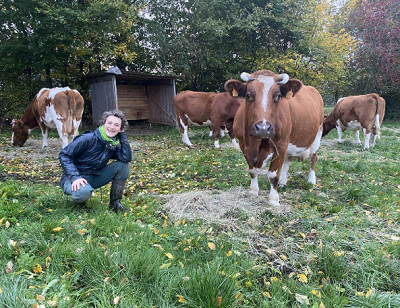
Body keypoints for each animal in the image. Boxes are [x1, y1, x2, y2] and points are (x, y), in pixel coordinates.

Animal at [225, 71, 324, 208]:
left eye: (278, 96)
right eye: (248, 95)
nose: (263, 128)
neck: (257, 144)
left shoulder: (281, 145)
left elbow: (272, 175)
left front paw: (274, 199)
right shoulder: (243, 145)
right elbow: (252, 171)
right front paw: (254, 191)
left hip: (317, 134)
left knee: (313, 158)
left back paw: (311, 180)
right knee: (288, 161)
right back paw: (283, 181)